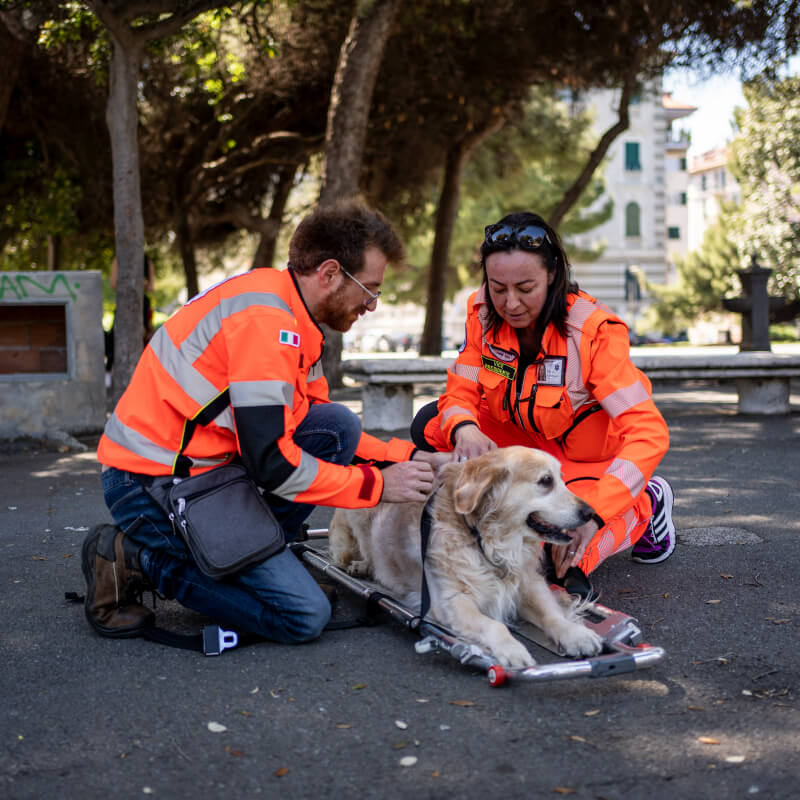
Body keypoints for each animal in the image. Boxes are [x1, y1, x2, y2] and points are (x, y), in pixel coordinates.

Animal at [328, 446, 603, 668]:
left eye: (561, 479)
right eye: (546, 481)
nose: (590, 513)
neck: (490, 541)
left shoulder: (528, 584)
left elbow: (552, 614)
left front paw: (577, 634)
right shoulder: (450, 601)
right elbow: (495, 624)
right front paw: (512, 649)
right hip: (361, 508)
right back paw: (361, 565)